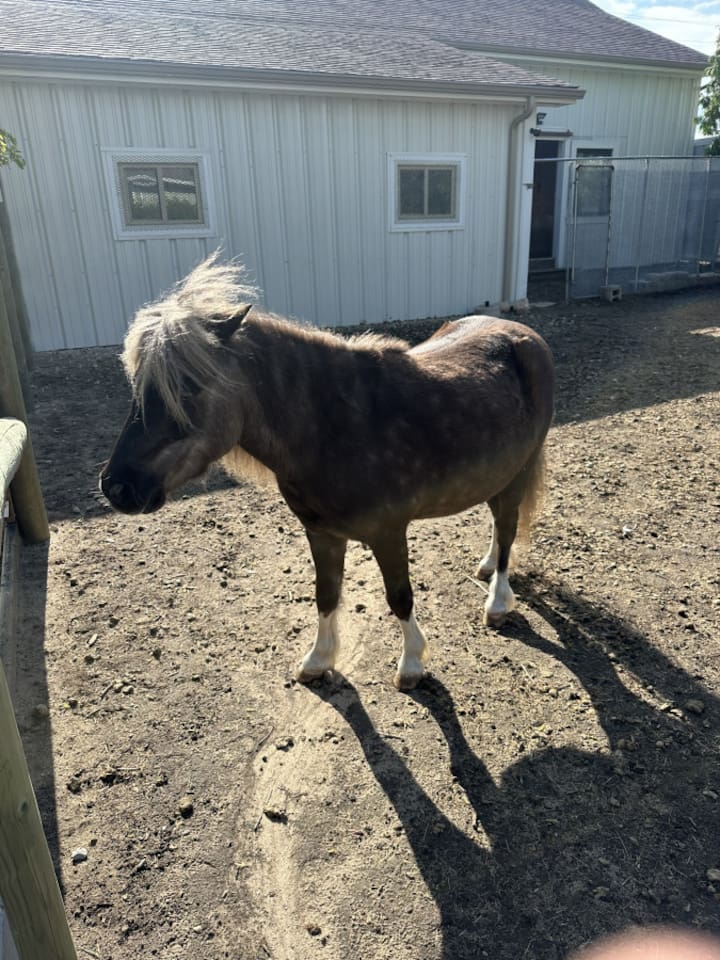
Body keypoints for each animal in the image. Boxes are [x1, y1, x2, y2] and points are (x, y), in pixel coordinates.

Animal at [100, 255, 554, 690]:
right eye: (137, 387)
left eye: (188, 386)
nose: (116, 487)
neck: (335, 427)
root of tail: (524, 335)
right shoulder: (321, 533)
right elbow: (325, 595)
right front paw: (318, 661)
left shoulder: (389, 532)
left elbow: (400, 597)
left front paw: (410, 665)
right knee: (499, 524)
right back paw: (486, 566)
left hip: (519, 471)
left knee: (508, 529)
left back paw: (497, 601)